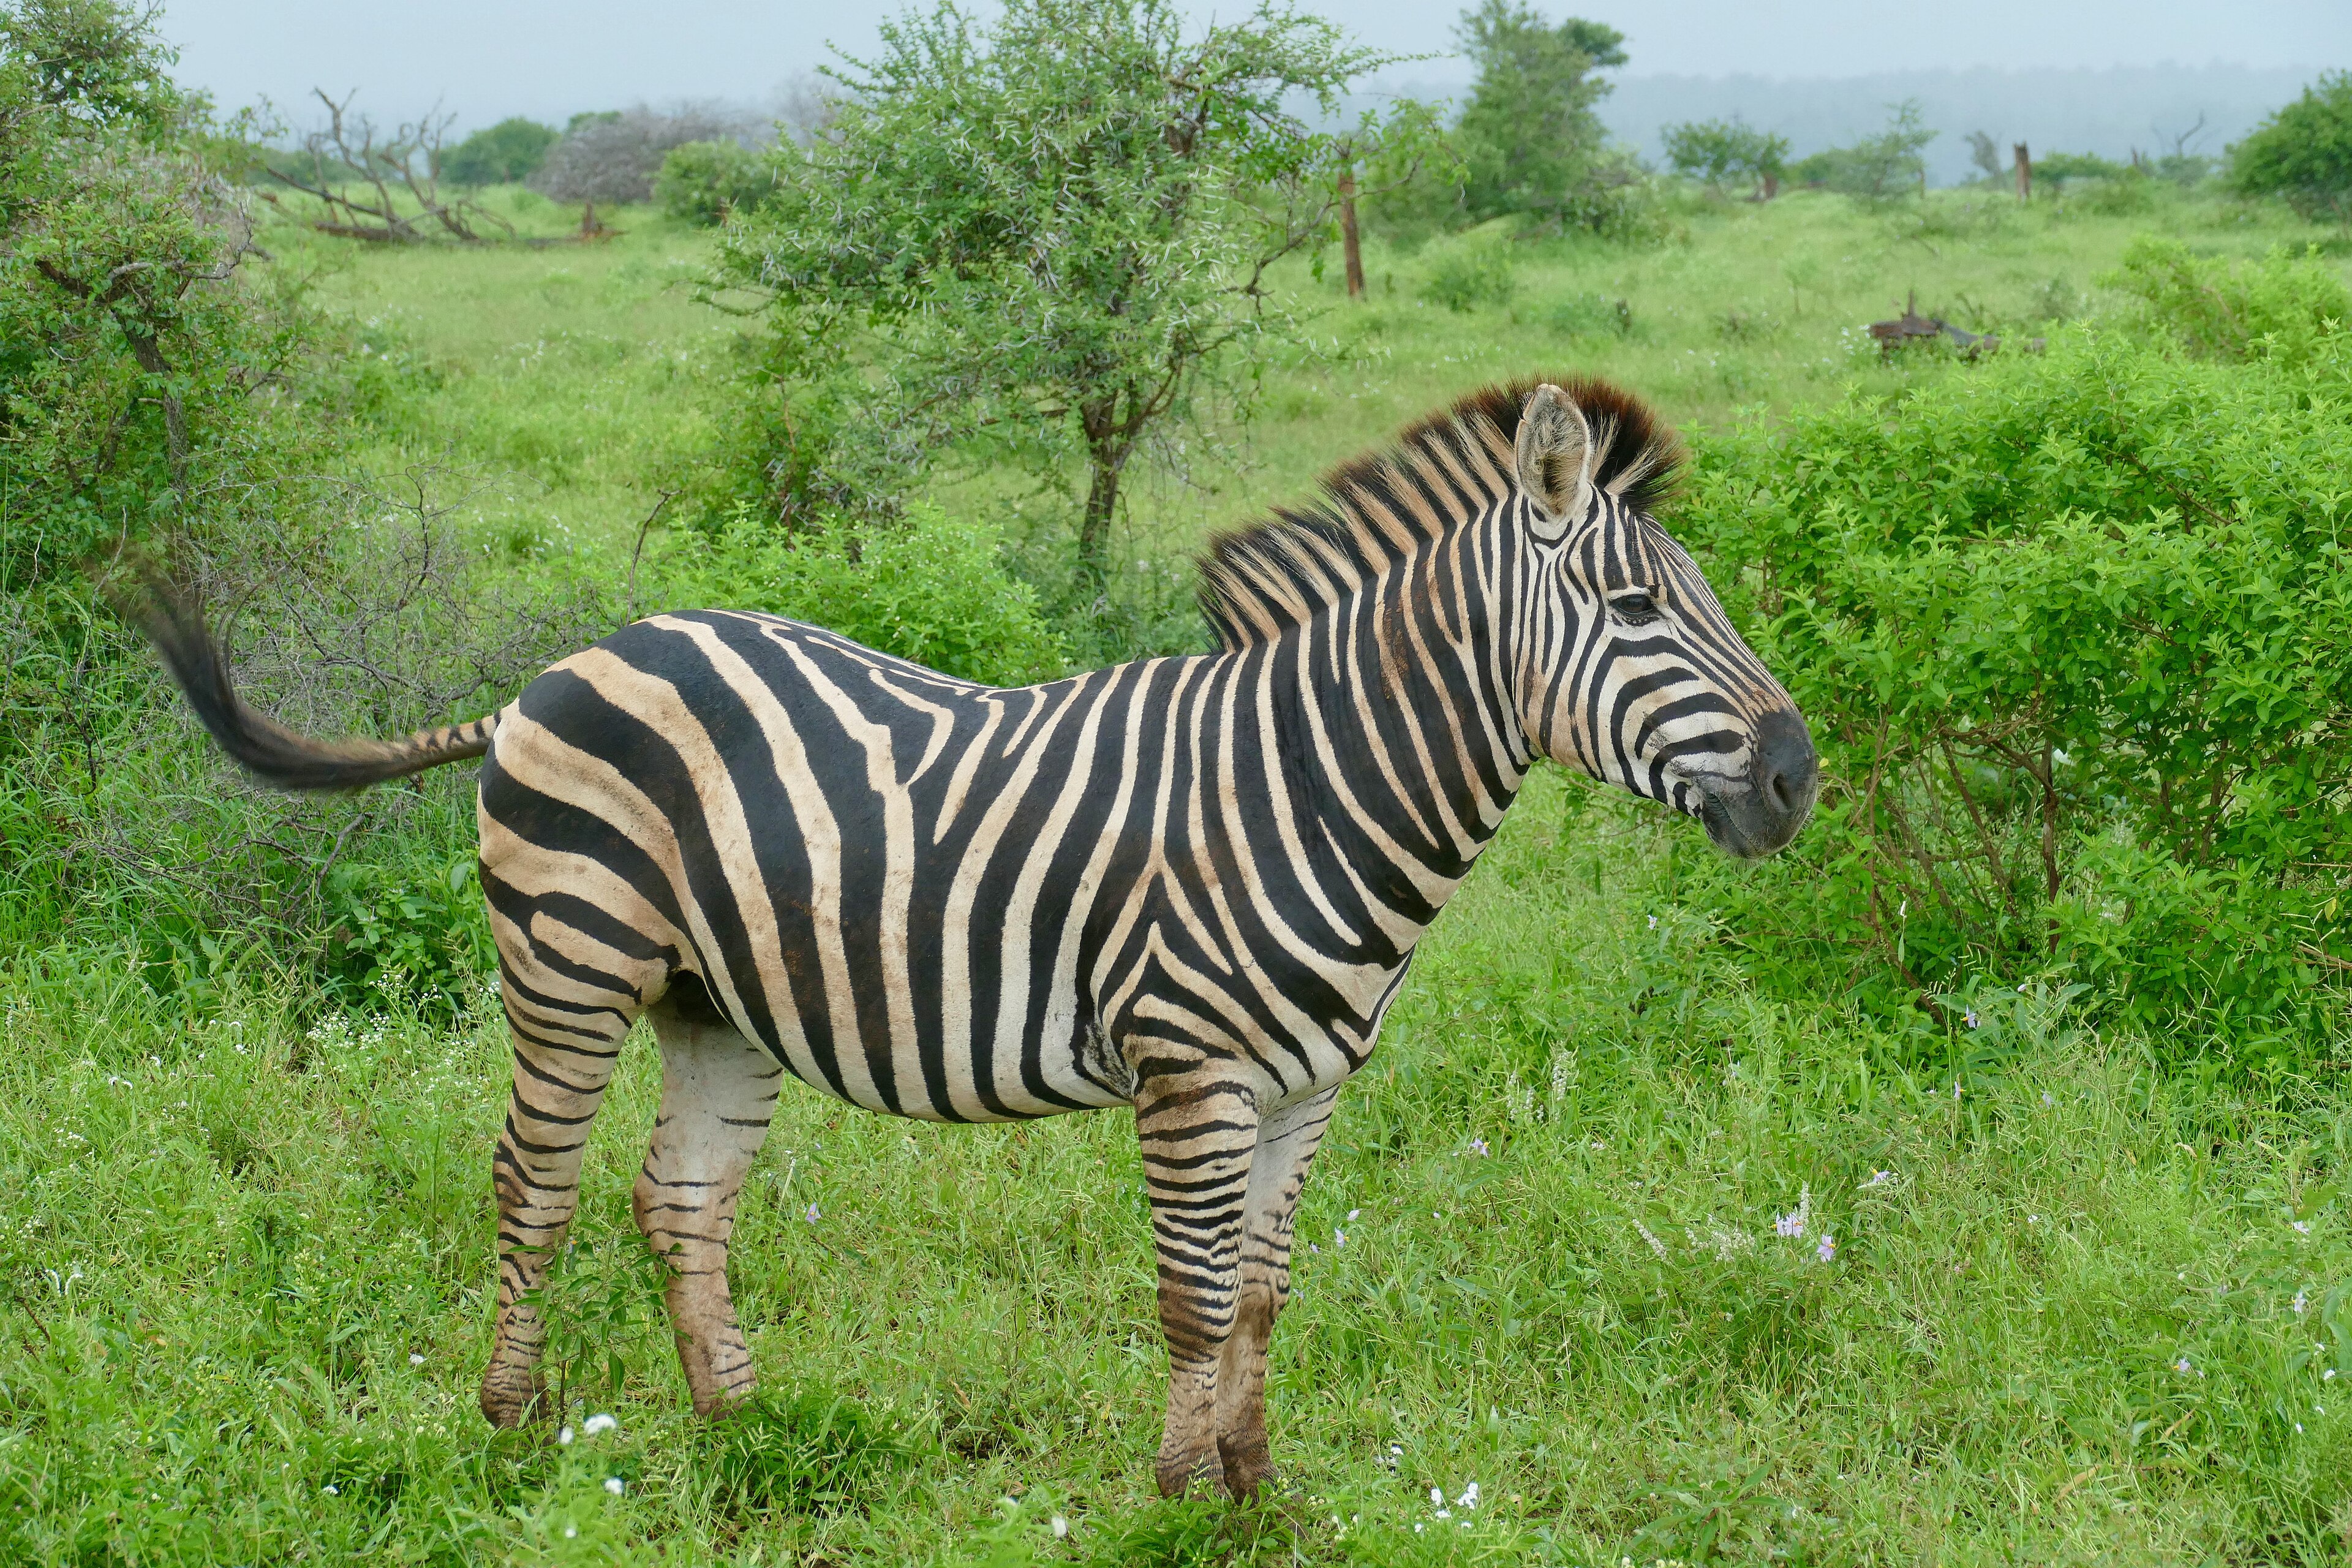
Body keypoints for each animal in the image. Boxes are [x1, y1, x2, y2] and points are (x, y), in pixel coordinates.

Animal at [131, 377, 1817, 1498]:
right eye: (1631, 607)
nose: (1799, 776)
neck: (1308, 781)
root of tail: (559, 666)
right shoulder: (1191, 1070)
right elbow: (1193, 1293)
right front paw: (1179, 1501)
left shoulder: (1309, 1087)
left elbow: (1265, 1292)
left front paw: (1258, 1490)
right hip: (570, 961)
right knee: (530, 1183)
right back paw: (513, 1428)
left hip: (711, 1001)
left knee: (677, 1201)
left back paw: (740, 1428)